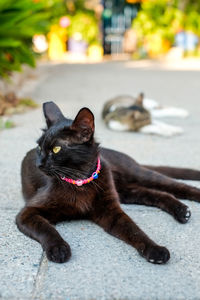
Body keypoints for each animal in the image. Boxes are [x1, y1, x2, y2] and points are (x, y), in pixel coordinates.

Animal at [16, 102, 200, 264]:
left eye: (56, 149)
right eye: (39, 148)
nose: (39, 164)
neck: (80, 180)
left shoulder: (111, 211)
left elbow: (134, 230)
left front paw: (154, 249)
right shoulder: (27, 213)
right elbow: (46, 229)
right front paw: (58, 248)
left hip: (137, 175)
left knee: (174, 186)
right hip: (126, 191)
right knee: (157, 194)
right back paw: (181, 210)